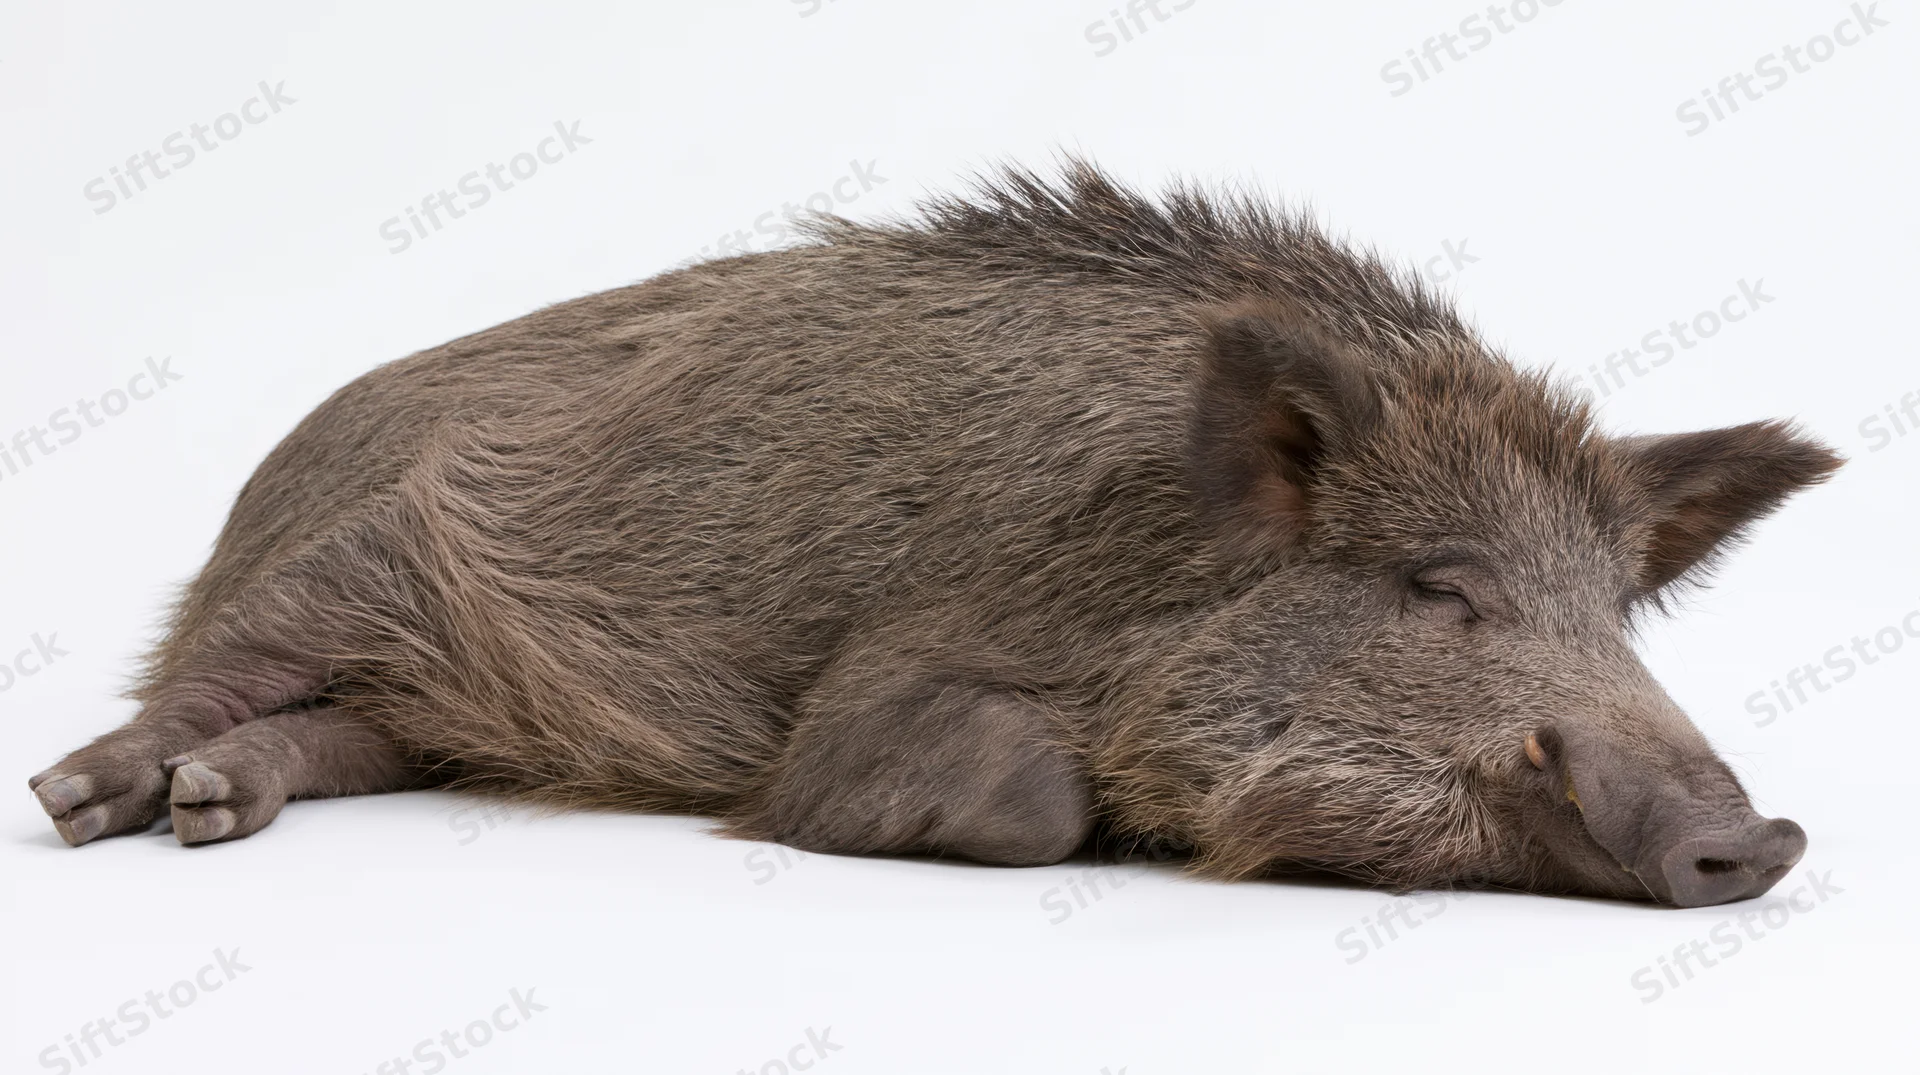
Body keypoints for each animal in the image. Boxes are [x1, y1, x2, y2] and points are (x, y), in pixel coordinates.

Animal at [29, 161, 1839, 906]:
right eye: (1441, 588)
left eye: (1615, 615)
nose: (1759, 838)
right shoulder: (873, 694)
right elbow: (1024, 804)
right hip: (337, 565)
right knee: (201, 685)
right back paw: (94, 802)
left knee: (345, 740)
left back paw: (208, 809)